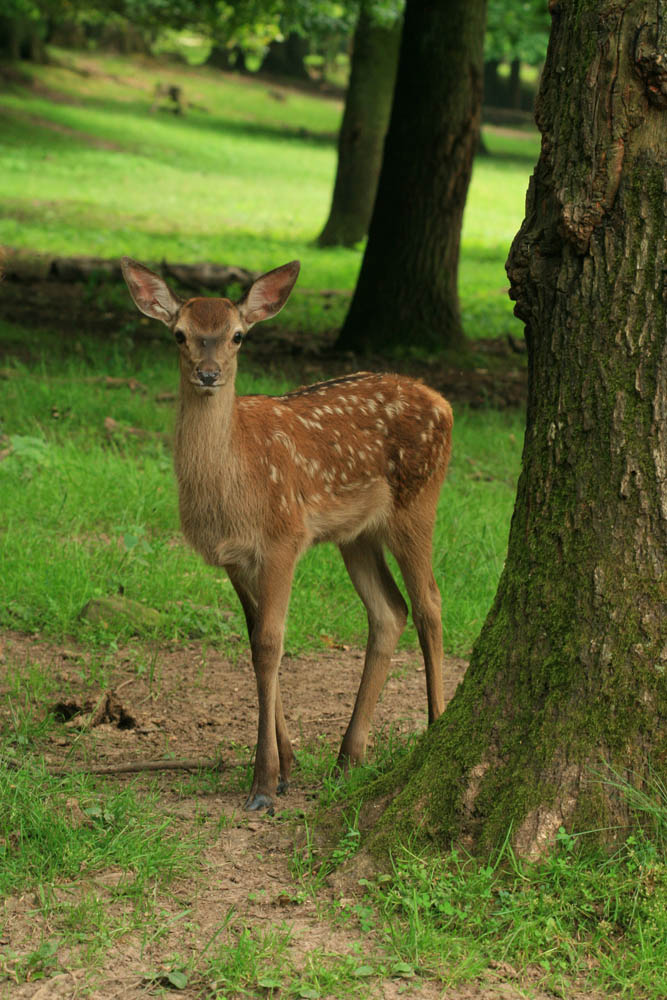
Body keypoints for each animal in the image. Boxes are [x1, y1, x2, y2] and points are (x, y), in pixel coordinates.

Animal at [121, 258, 454, 812]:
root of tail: (444, 402)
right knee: (390, 611)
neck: (233, 485)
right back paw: (348, 758)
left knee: (429, 602)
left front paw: (263, 783)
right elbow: (254, 637)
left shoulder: (283, 537)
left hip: (417, 500)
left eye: (237, 336)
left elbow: (271, 643)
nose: (208, 373)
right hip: (356, 533)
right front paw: (287, 768)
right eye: (179, 334)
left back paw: (434, 726)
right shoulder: (235, 558)